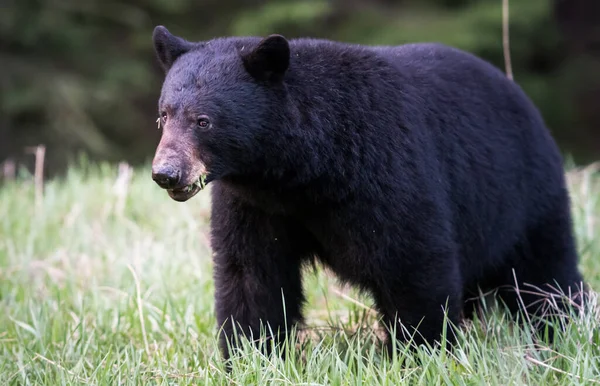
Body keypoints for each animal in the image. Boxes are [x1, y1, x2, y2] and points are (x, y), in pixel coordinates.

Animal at [150, 25, 584, 360]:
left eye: (204, 121)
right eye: (164, 115)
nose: (166, 174)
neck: (304, 171)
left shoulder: (386, 170)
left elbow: (412, 261)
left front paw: (419, 354)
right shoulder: (254, 203)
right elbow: (251, 273)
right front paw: (251, 355)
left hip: (523, 196)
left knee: (545, 273)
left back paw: (563, 329)